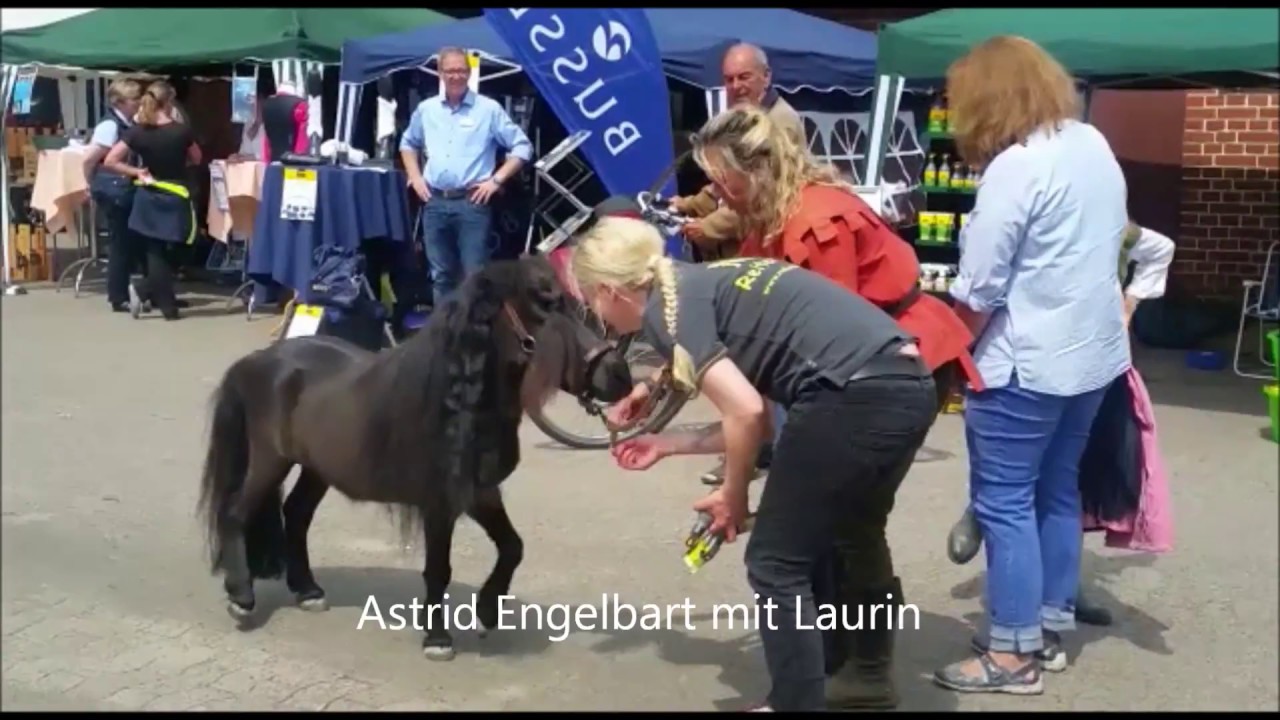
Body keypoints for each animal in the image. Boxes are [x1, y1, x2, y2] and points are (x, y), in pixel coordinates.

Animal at [197, 254, 633, 660]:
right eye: (544, 305)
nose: (620, 375)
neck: (455, 399)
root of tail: (258, 361)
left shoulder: (479, 492)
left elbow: (513, 547)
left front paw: (486, 612)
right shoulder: (439, 503)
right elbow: (438, 569)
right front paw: (437, 638)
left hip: (317, 468)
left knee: (297, 513)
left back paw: (307, 591)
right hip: (270, 461)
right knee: (235, 513)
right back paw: (242, 598)